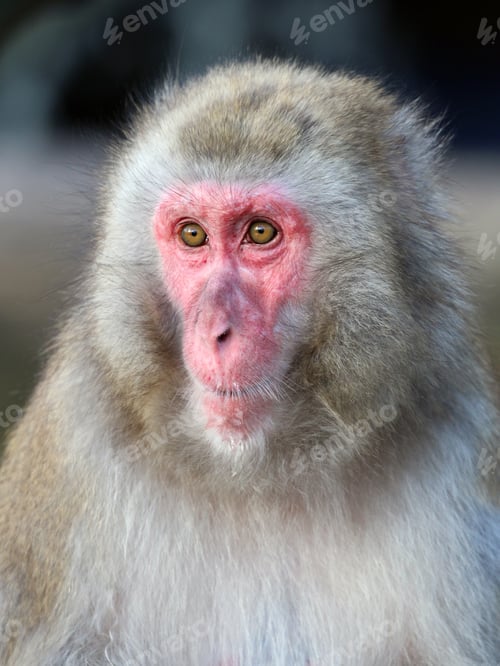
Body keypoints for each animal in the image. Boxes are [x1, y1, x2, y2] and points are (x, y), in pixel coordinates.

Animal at [0, 59, 499, 666]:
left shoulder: (456, 441)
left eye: (260, 232)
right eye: (193, 234)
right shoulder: (75, 440)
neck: (261, 473)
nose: (216, 331)